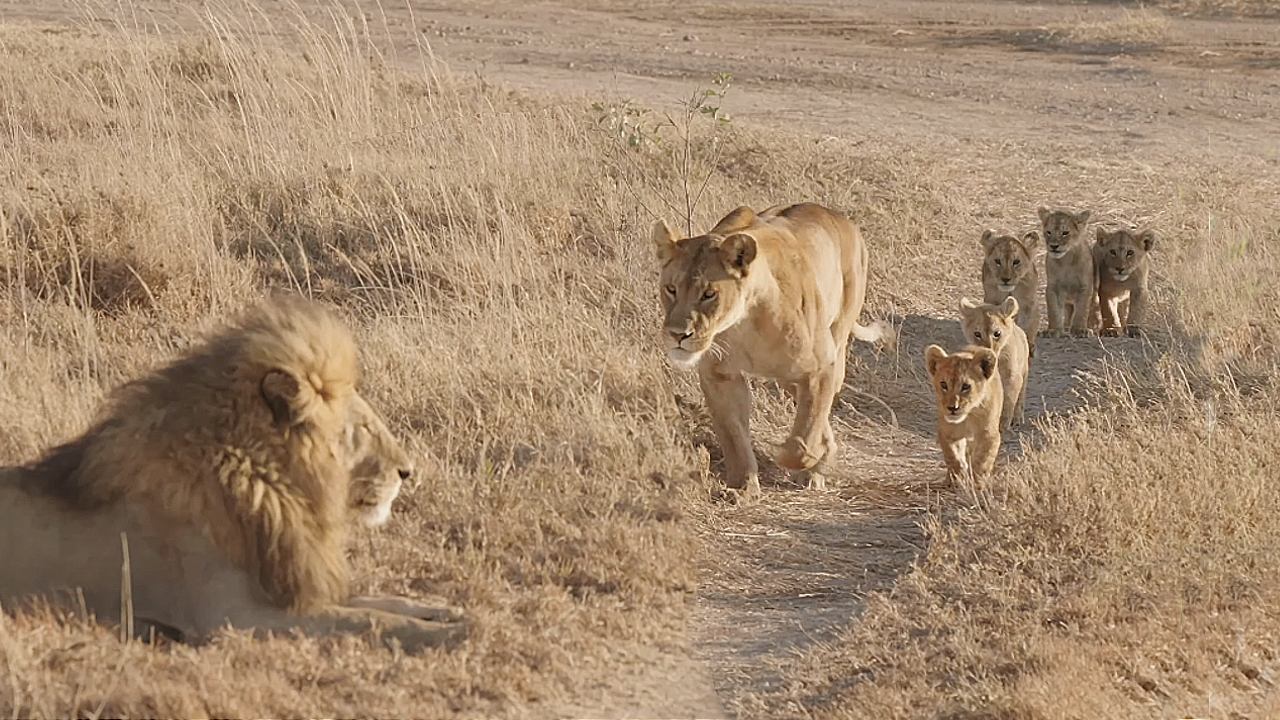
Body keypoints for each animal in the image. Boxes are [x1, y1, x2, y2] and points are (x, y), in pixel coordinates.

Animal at [0, 294, 468, 648]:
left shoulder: (287, 586)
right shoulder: (232, 615)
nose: (407, 472)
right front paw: (457, 634)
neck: (271, 484)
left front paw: (444, 610)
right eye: (363, 429)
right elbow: (366, 619)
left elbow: (375, 601)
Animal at [650, 198, 890, 497]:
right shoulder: (720, 376)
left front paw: (797, 457)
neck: (742, 324)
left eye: (709, 294)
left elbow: (806, 434)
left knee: (821, 409)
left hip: (835, 343)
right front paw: (742, 487)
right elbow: (734, 435)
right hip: (790, 379)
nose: (677, 335)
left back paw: (817, 466)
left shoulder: (822, 367)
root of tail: (838, 216)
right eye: (670, 289)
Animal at [926, 343, 1003, 481]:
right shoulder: (947, 433)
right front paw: (958, 477)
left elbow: (982, 461)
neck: (968, 417)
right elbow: (953, 457)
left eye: (966, 386)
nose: (953, 408)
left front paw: (977, 481)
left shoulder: (989, 435)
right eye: (943, 385)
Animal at [977, 226, 1039, 356]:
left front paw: (1028, 346)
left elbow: (1027, 324)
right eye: (997, 261)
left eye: (1016, 262)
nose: (1006, 279)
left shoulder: (1028, 302)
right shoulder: (991, 299)